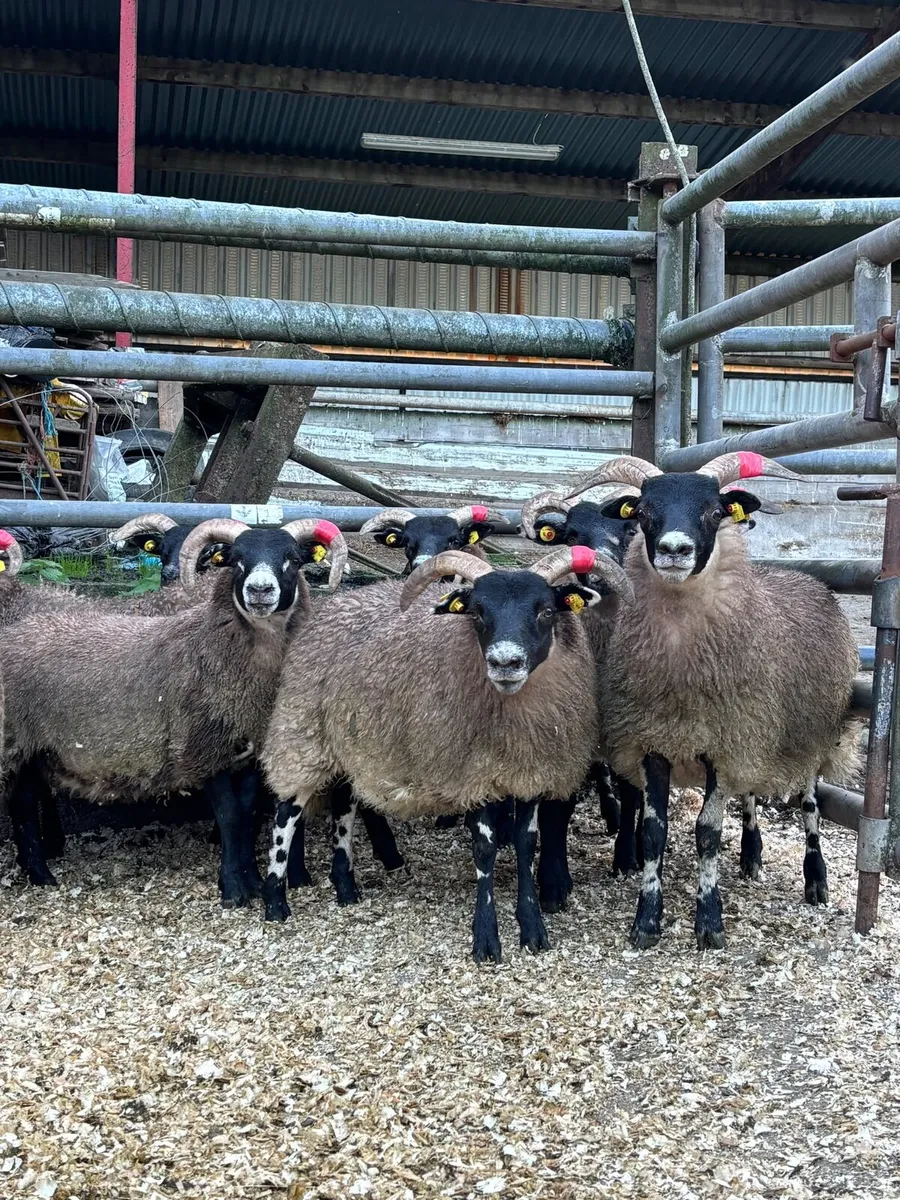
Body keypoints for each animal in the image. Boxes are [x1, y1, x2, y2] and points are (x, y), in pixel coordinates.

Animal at [0, 516, 349, 906]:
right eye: (236, 560)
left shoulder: (248, 754)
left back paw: (38, 873)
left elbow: (245, 815)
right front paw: (233, 889)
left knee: (24, 803)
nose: (260, 590)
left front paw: (254, 881)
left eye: (292, 559)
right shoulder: (202, 749)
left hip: (33, 749)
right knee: (23, 805)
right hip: (15, 742)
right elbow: (229, 817)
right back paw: (41, 873)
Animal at [258, 544, 633, 962]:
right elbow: (485, 849)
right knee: (286, 812)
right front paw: (486, 939)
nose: (505, 663)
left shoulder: (530, 773)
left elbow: (526, 845)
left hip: (347, 745)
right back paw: (274, 902)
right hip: (302, 732)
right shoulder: (475, 775)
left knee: (343, 808)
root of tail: (333, 605)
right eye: (478, 611)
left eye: (546, 610)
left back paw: (346, 888)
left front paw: (533, 928)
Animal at [560, 451, 860, 950]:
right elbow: (653, 834)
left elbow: (707, 832)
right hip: (757, 729)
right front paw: (646, 922)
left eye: (716, 512)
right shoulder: (657, 741)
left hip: (810, 733)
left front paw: (710, 923)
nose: (675, 549)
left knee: (810, 804)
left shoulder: (723, 745)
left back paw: (815, 881)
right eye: (643, 512)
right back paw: (751, 856)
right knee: (751, 793)